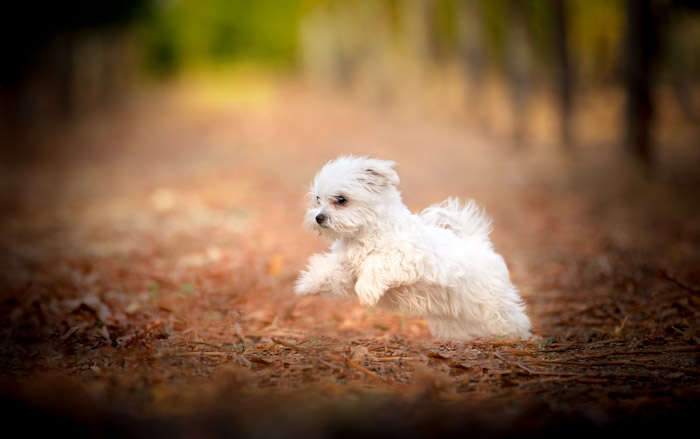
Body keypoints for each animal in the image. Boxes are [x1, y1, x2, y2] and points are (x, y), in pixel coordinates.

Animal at [294, 156, 532, 342]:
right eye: (318, 199)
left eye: (341, 200)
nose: (318, 217)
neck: (364, 233)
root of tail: (478, 243)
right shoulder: (346, 268)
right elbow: (330, 271)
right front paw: (308, 284)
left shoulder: (405, 258)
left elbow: (376, 262)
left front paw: (368, 290)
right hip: (455, 314)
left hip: (494, 303)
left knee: (511, 319)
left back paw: (518, 339)